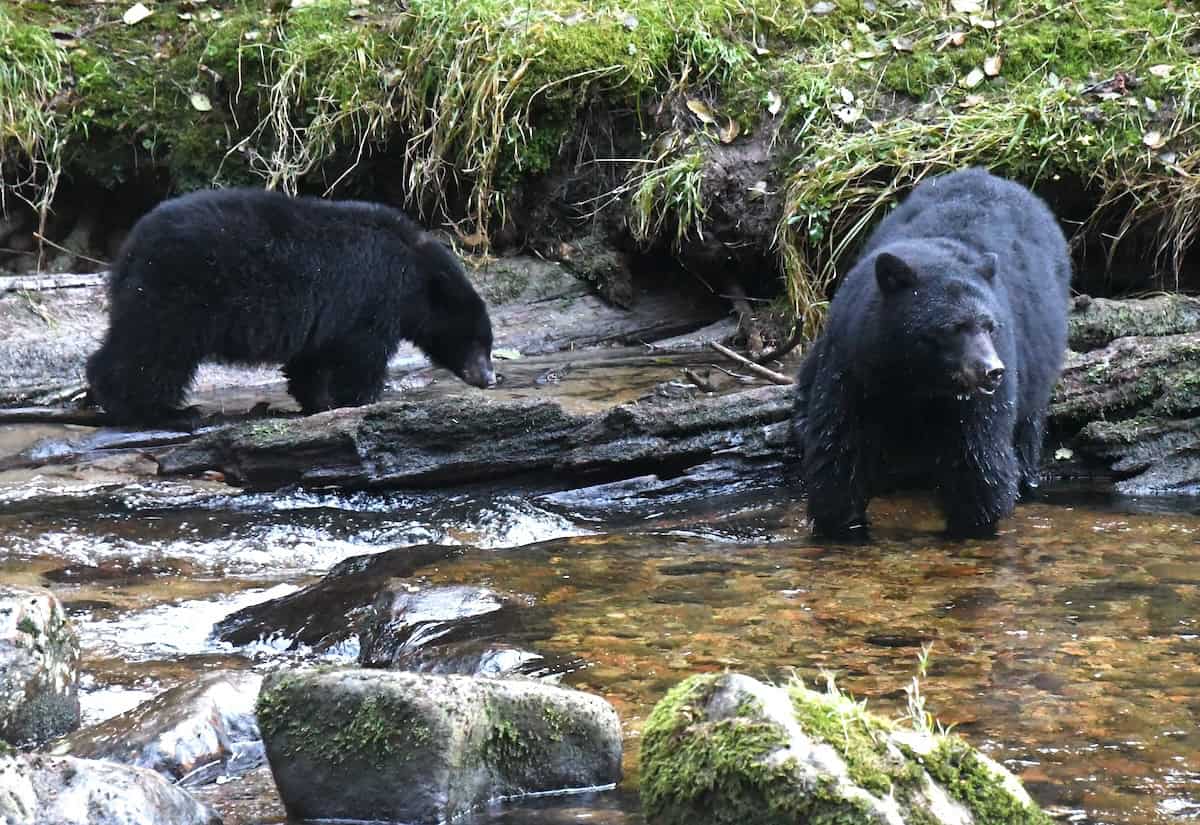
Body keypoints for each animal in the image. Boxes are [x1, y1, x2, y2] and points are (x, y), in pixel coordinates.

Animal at [86, 188, 496, 424]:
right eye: (479, 341)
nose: (490, 378)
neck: (415, 270)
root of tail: (131, 246)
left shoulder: (327, 315)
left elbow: (311, 358)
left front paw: (319, 402)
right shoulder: (373, 294)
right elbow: (362, 353)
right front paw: (363, 399)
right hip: (180, 292)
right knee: (153, 350)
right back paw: (161, 411)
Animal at [790, 167, 1071, 538]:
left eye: (990, 325)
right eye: (955, 327)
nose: (993, 370)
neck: (916, 376)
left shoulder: (975, 397)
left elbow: (979, 456)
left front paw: (974, 524)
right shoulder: (853, 363)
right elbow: (839, 447)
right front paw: (840, 525)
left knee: (1027, 426)